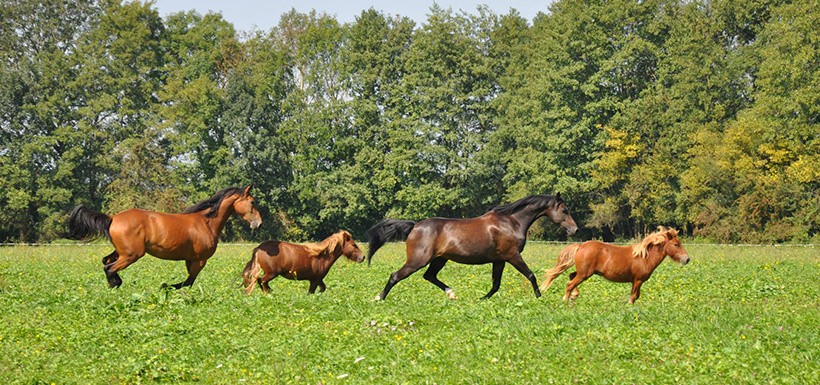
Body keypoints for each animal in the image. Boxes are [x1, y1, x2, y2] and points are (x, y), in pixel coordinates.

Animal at [65, 185, 262, 288]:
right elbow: (188, 282)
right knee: (110, 268)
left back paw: (115, 285)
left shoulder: (190, 259)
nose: (258, 223)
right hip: (131, 255)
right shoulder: (200, 260)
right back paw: (115, 286)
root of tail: (112, 218)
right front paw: (167, 286)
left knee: (106, 262)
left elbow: (188, 281)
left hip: (121, 252)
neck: (206, 222)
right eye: (252, 202)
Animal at [366, 195, 576, 300]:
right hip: (418, 260)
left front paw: (482, 299)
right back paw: (379, 298)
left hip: (439, 259)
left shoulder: (499, 260)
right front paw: (540, 296)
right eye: (564, 210)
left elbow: (496, 284)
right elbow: (531, 275)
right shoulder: (512, 255)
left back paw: (451, 294)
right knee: (396, 276)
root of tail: (414, 226)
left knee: (429, 276)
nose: (574, 229)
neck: (511, 222)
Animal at [540, 225, 688, 304]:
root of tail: (580, 246)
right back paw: (566, 299)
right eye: (676, 244)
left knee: (571, 276)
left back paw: (574, 296)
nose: (687, 259)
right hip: (584, 274)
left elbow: (635, 296)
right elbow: (633, 297)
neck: (644, 256)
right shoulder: (638, 280)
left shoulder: (635, 281)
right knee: (569, 284)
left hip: (583, 272)